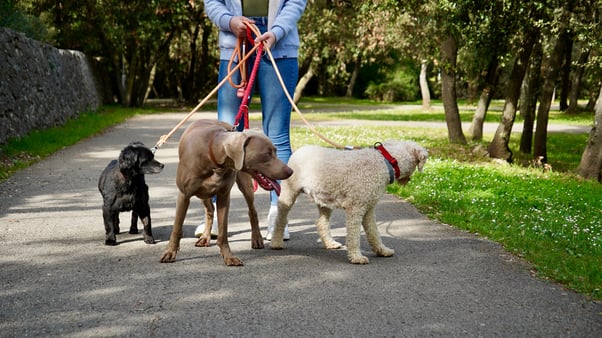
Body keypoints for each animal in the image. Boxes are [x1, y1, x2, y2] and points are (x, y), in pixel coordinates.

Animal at [270, 140, 424, 264]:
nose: (409, 180)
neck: (383, 161)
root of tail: (299, 150)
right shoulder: (355, 209)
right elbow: (354, 236)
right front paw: (356, 257)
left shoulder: (368, 209)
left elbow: (374, 232)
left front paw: (382, 250)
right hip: (289, 192)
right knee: (280, 219)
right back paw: (276, 242)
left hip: (324, 199)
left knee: (321, 223)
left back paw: (330, 243)